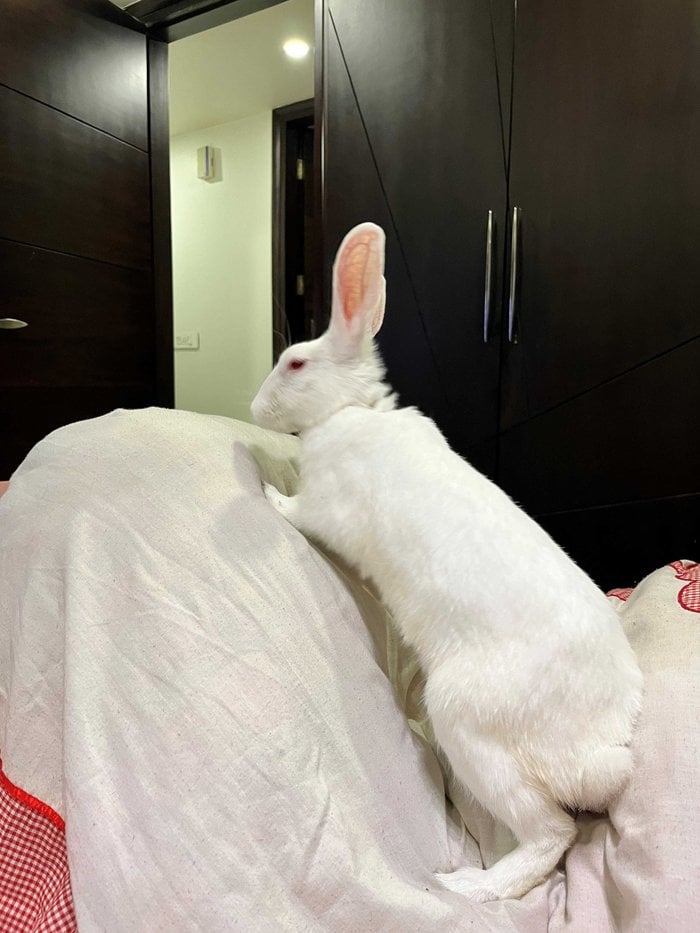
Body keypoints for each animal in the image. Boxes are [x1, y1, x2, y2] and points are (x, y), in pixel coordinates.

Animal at [251, 222, 643, 903]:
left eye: (296, 362)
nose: (252, 409)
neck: (351, 413)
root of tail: (600, 751)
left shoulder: (330, 509)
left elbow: (301, 513)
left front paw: (269, 494)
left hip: (470, 725)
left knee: (552, 837)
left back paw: (466, 887)